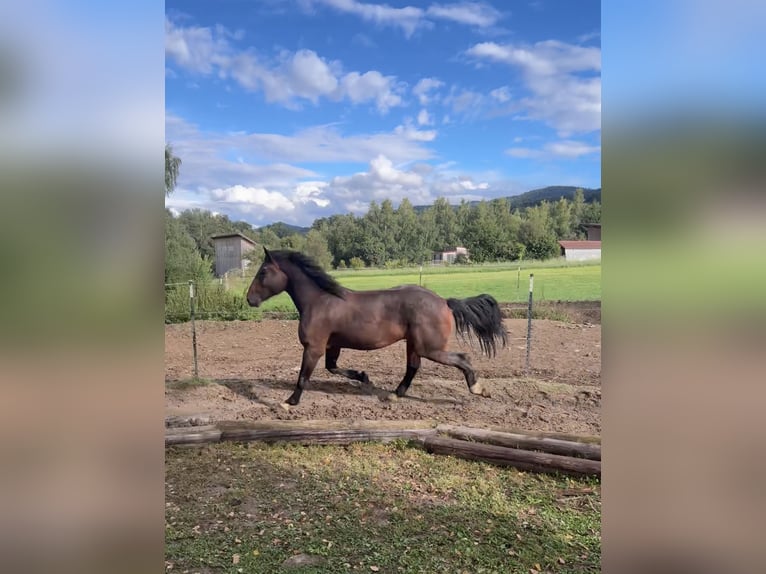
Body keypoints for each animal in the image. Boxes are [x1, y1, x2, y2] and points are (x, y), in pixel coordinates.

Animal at [246, 247, 508, 408]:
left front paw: (289, 402)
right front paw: (364, 377)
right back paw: (394, 394)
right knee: (413, 367)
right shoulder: (332, 346)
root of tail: (444, 301)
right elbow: (333, 368)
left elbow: (303, 377)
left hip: (430, 347)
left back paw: (478, 389)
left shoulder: (313, 347)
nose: (249, 299)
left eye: (263, 271)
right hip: (414, 344)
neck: (319, 301)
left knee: (462, 358)